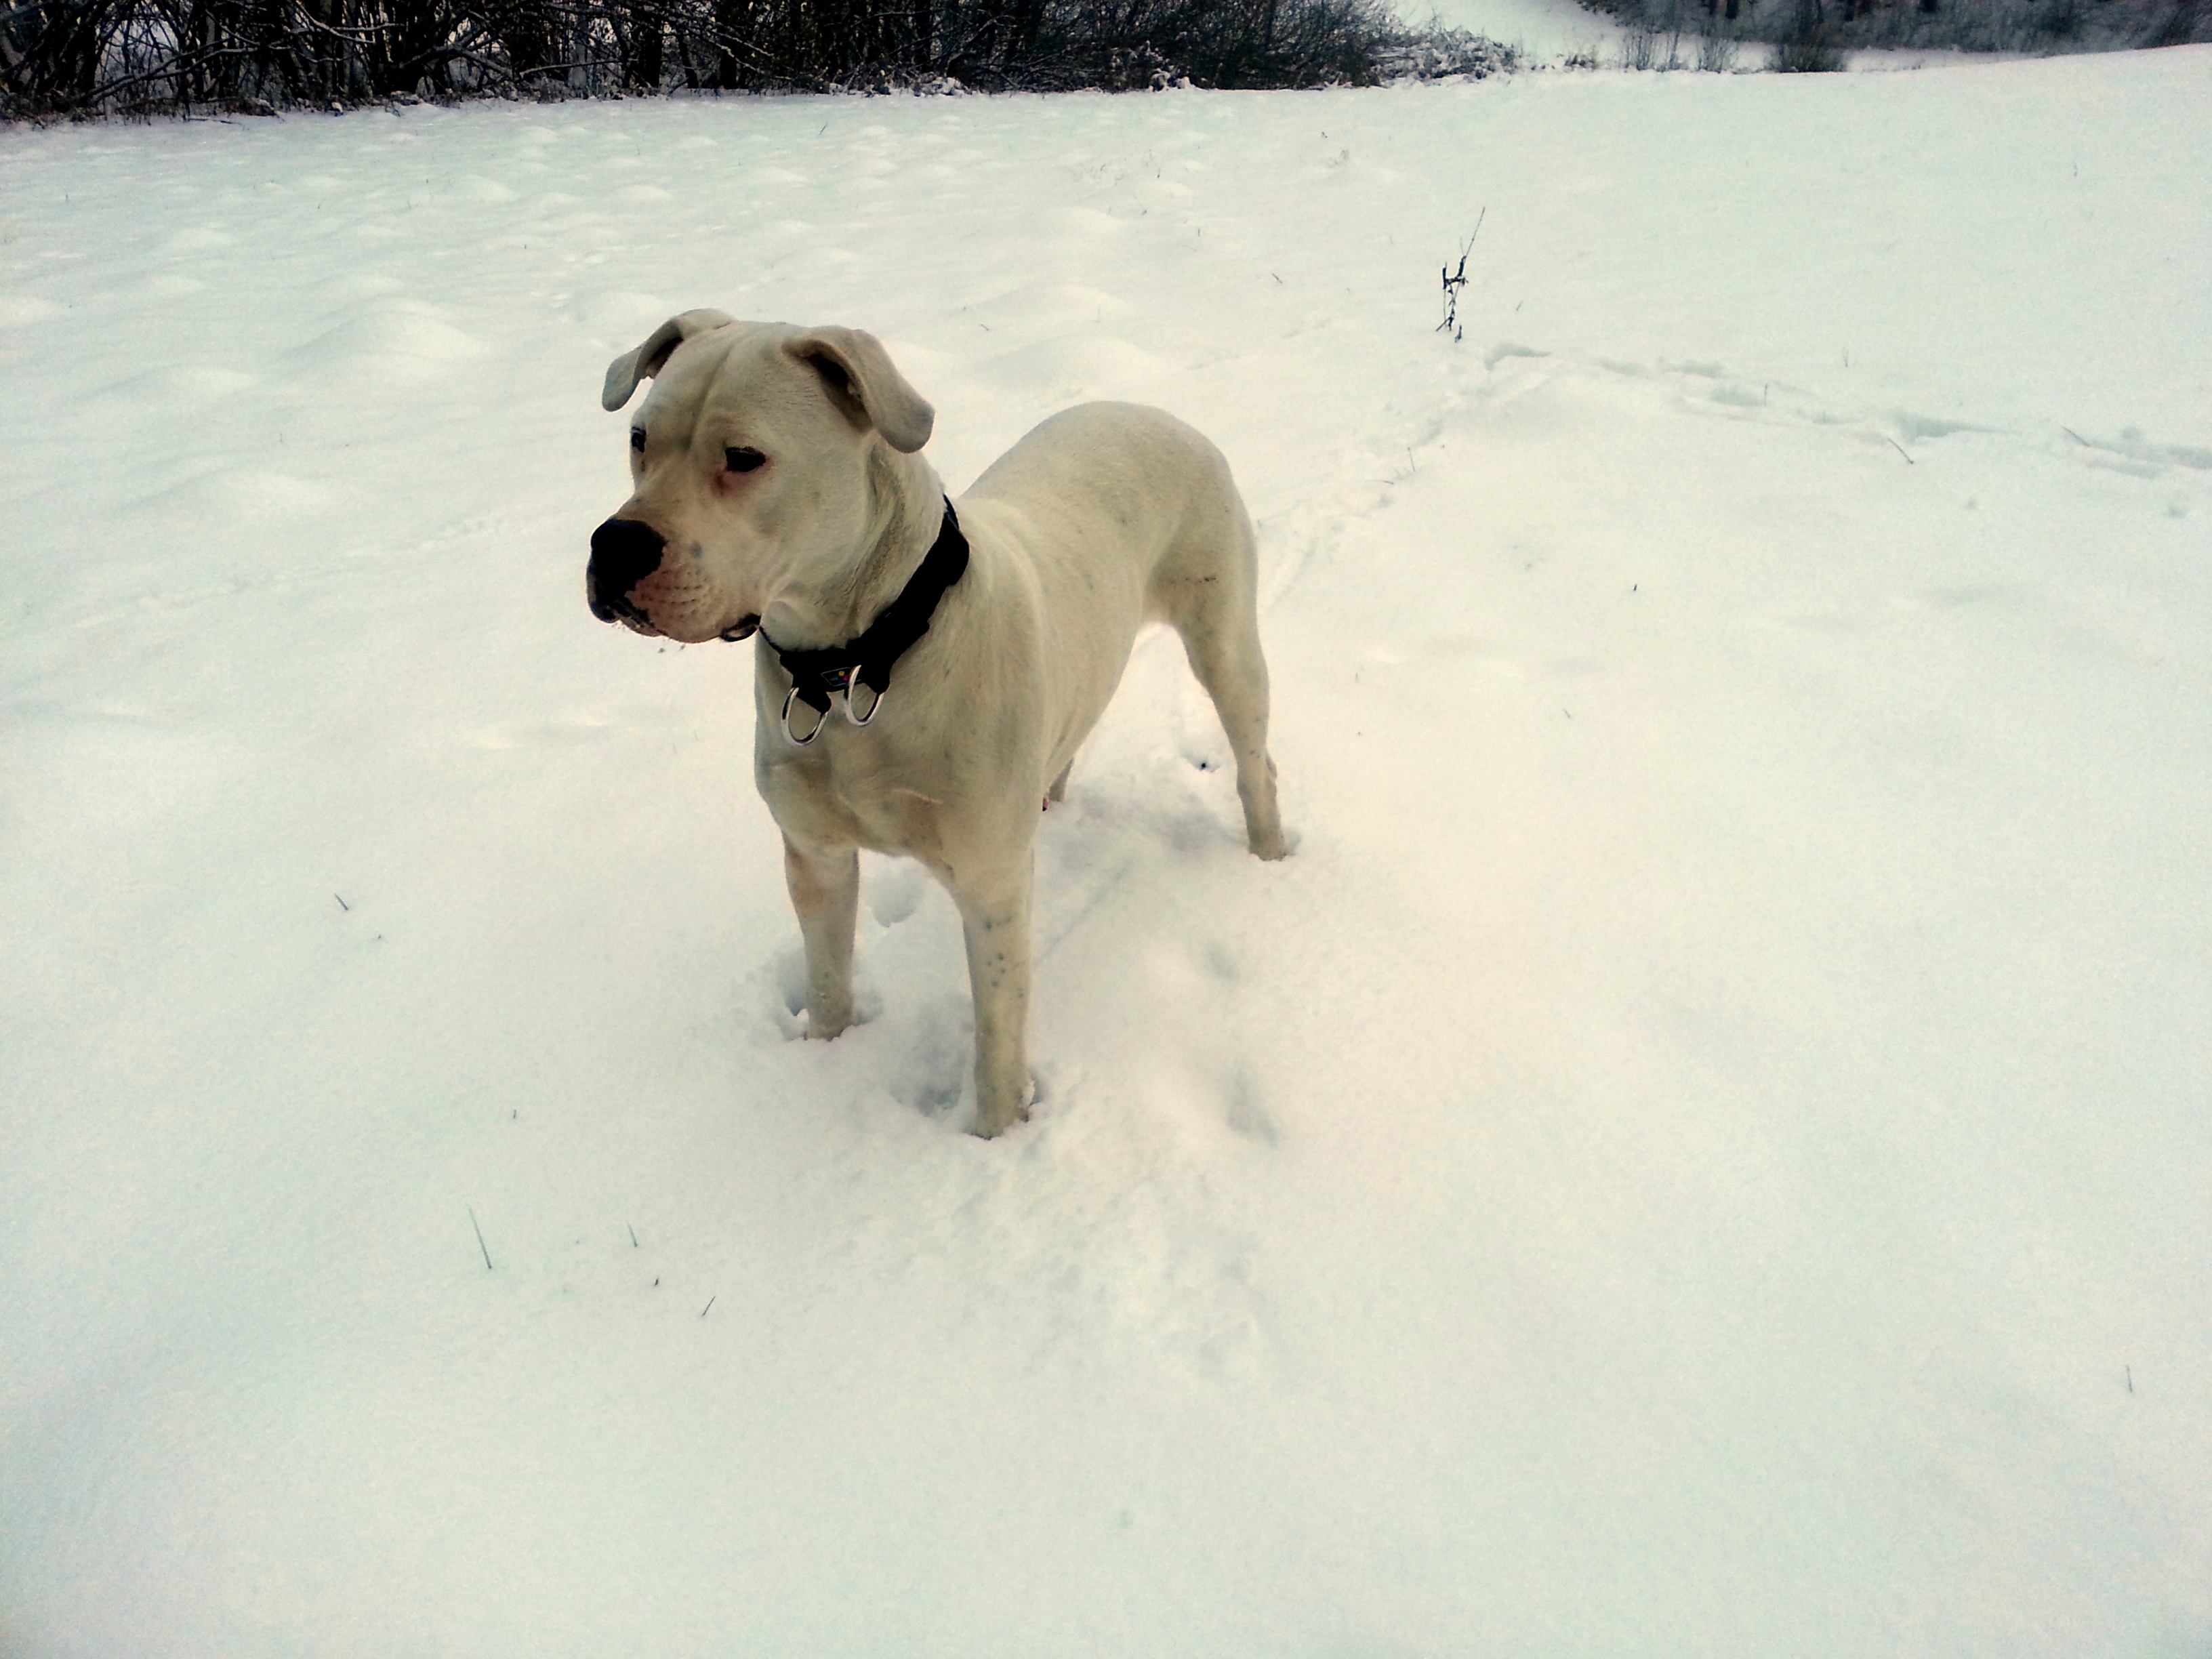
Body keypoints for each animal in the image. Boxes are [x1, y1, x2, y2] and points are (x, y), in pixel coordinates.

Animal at [588, 309, 1292, 1141]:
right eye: (639, 438)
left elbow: (997, 1037)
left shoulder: (990, 887)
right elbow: (828, 985)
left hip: (1223, 635)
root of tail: (1153, 411)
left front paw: (995, 1138)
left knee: (1253, 757)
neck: (857, 663)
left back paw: (1269, 856)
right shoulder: (816, 855)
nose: (614, 545)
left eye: (745, 457)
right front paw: (824, 1061)